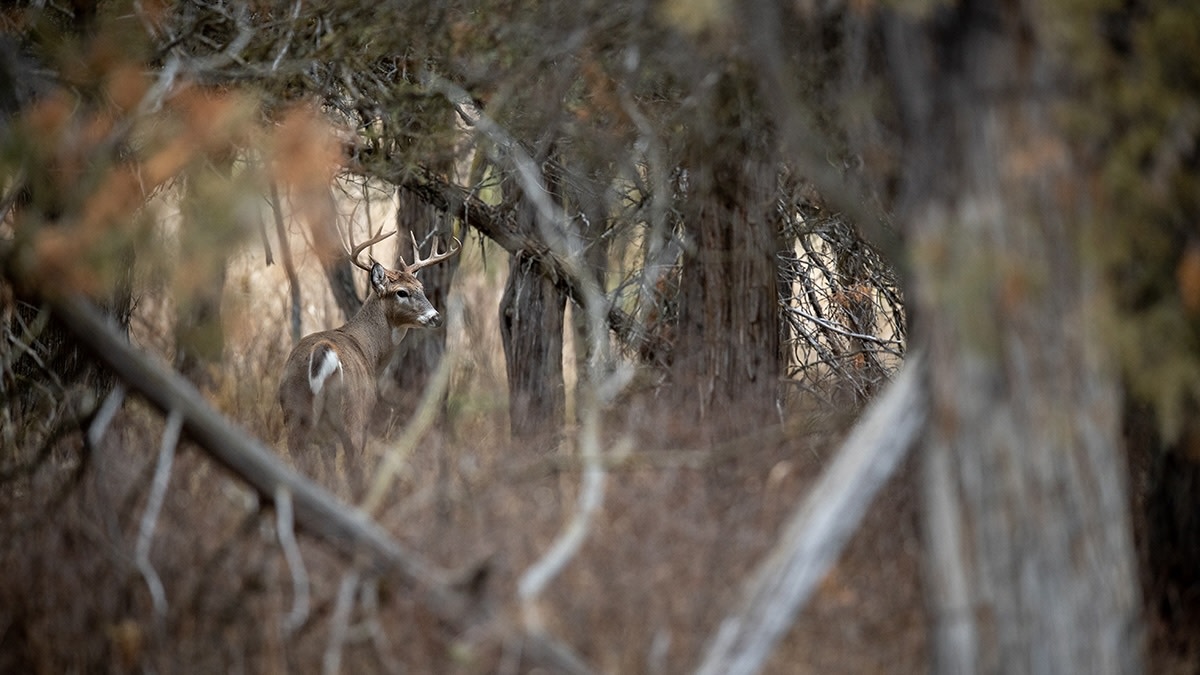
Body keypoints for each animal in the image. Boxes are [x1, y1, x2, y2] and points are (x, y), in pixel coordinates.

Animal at [278, 229, 460, 482]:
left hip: (294, 417)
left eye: (421, 288)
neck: (369, 352)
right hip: (352, 415)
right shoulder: (365, 414)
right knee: (354, 469)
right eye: (401, 292)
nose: (436, 317)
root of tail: (321, 351)